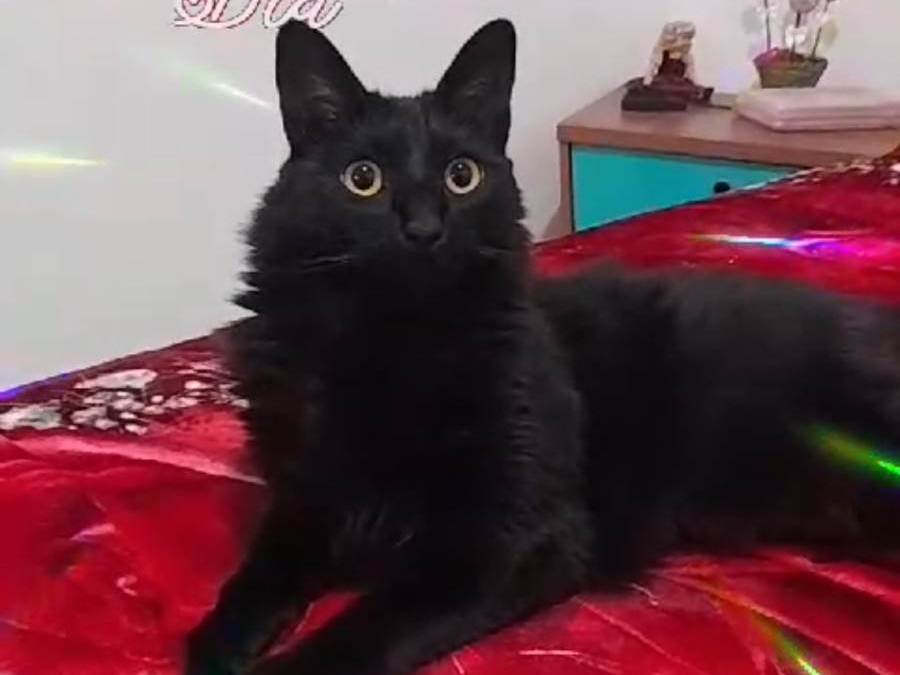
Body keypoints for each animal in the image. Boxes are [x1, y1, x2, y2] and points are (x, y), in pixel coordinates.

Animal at [186, 19, 900, 675]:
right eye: (363, 178)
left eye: (462, 176)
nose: (424, 229)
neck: (389, 342)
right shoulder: (303, 498)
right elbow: (255, 576)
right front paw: (218, 644)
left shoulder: (508, 541)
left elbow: (363, 629)